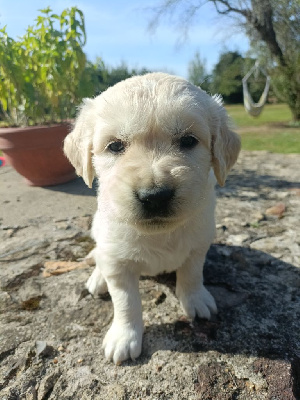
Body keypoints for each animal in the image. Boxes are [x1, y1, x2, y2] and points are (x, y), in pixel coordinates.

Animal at [63, 72, 241, 366]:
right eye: (115, 146)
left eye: (188, 141)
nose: (155, 196)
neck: (158, 234)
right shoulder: (117, 262)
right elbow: (126, 302)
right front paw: (124, 337)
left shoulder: (199, 242)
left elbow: (192, 273)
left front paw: (195, 300)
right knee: (98, 256)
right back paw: (97, 279)